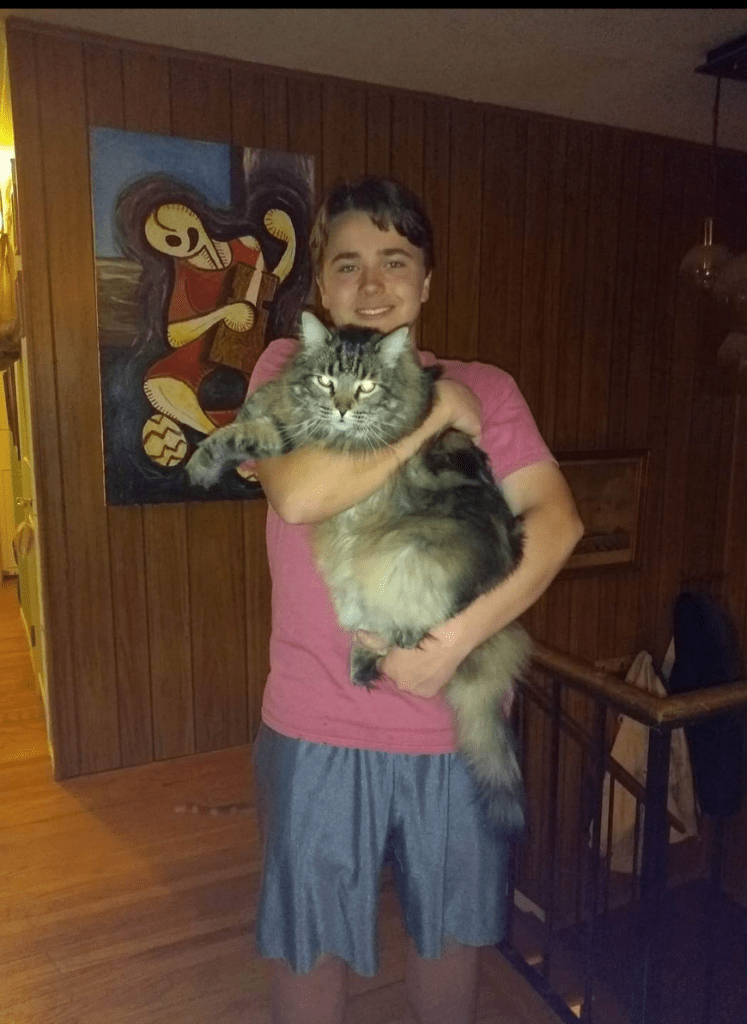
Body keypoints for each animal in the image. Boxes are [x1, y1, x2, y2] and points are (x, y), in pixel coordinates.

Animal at [186, 311, 532, 835]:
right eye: (327, 380)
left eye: (366, 386)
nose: (343, 410)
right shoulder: (289, 426)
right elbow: (259, 413)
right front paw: (252, 405)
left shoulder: (307, 444)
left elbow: (235, 435)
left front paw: (203, 462)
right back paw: (360, 659)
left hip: (407, 557)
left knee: (410, 631)